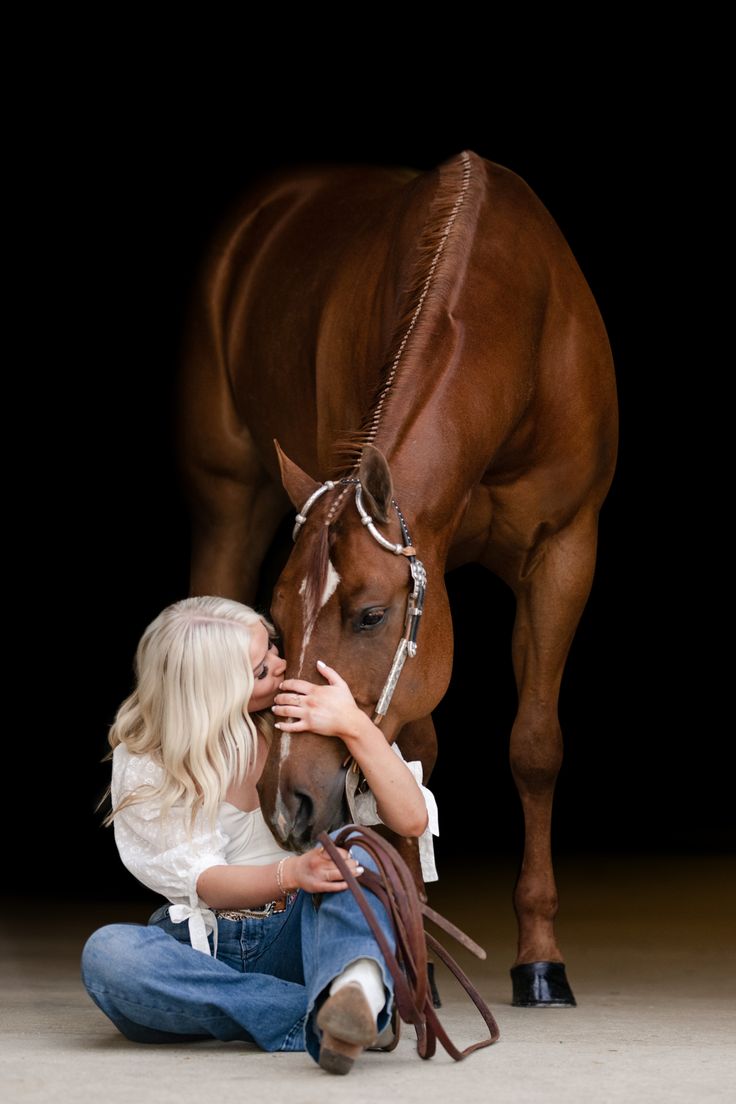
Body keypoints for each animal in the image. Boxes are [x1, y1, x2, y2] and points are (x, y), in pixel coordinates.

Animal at [176, 151, 617, 1006]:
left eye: (372, 615)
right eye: (278, 623)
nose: (289, 801)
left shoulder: (564, 550)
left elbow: (534, 747)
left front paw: (541, 959)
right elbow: (415, 754)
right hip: (225, 502)